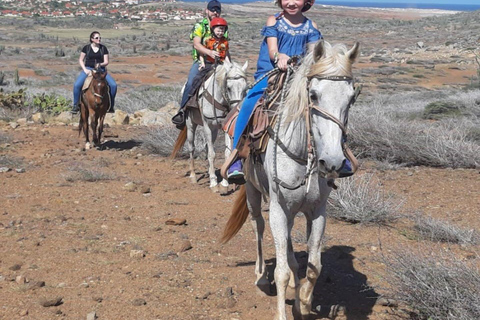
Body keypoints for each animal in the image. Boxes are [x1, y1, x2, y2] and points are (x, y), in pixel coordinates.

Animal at [172, 60, 248, 192]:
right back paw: (193, 176)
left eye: (245, 88)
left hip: (214, 130)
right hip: (191, 125)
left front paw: (224, 183)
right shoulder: (207, 125)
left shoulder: (225, 128)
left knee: (207, 147)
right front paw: (213, 183)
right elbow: (212, 154)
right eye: (228, 88)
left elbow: (226, 153)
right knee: (192, 148)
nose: (236, 113)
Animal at [221, 40, 360, 320]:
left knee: (287, 245)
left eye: (351, 98)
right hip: (253, 192)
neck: (302, 154)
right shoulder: (278, 208)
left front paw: (304, 302)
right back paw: (261, 276)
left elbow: (314, 266)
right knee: (258, 226)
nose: (332, 162)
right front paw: (287, 306)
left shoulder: (317, 211)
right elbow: (282, 272)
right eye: (313, 94)